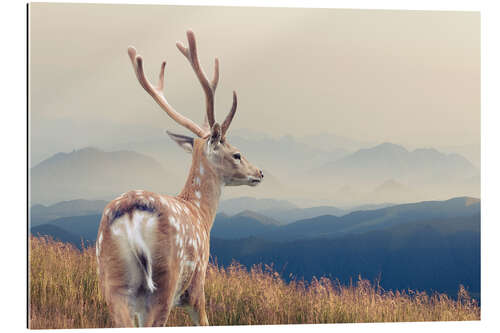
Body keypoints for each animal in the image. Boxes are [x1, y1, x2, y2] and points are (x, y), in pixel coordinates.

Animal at [95, 29, 264, 326]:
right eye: (237, 154)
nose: (259, 173)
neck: (201, 214)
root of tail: (131, 215)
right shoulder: (197, 285)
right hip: (165, 281)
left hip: (112, 280)